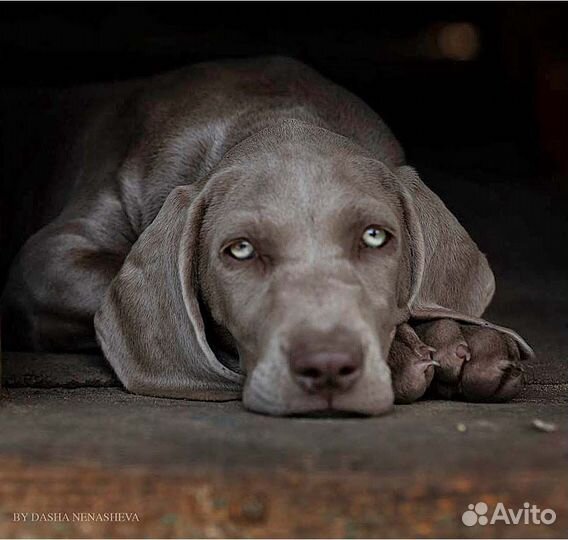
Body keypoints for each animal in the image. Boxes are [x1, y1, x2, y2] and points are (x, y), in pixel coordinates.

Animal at [1, 57, 532, 416]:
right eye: (240, 250)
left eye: (375, 237)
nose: (327, 364)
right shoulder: (46, 260)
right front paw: (403, 352)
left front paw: (463, 338)